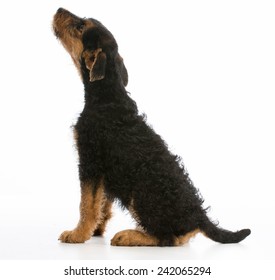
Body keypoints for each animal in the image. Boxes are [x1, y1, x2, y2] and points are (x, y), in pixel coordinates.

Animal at [52, 7, 251, 246]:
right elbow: (102, 204)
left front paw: (77, 234)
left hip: (141, 195)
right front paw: (96, 230)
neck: (107, 97)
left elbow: (87, 204)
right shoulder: (107, 170)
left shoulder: (90, 160)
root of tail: (201, 218)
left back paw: (128, 236)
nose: (58, 10)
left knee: (167, 237)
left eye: (81, 26)